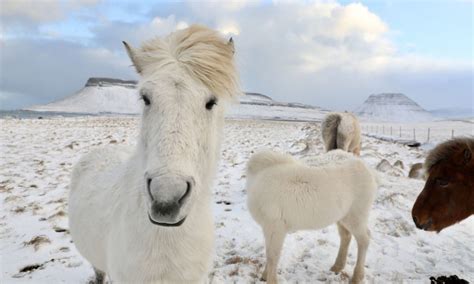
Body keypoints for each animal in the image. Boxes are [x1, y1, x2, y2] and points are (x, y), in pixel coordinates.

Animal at [246, 150, 376, 282]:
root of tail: (365, 167)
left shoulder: (274, 227)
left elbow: (272, 256)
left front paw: (270, 278)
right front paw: (264, 275)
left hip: (356, 215)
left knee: (364, 239)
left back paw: (357, 277)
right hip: (343, 217)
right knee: (346, 236)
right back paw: (337, 266)